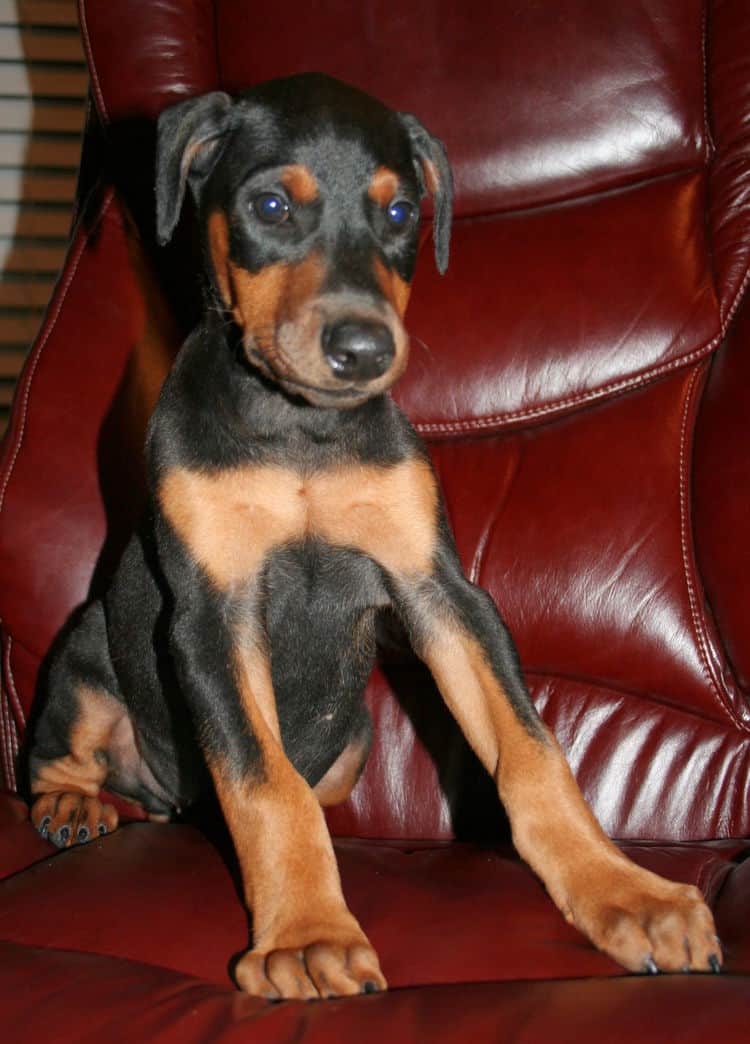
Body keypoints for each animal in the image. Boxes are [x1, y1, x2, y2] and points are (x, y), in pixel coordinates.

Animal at [27, 75, 722, 1002]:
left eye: (399, 214)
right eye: (272, 205)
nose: (363, 349)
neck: (300, 432)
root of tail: (170, 801)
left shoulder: (441, 590)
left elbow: (534, 753)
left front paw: (623, 894)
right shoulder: (210, 614)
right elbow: (264, 783)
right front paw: (307, 935)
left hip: (355, 739)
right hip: (87, 645)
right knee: (59, 751)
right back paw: (74, 804)